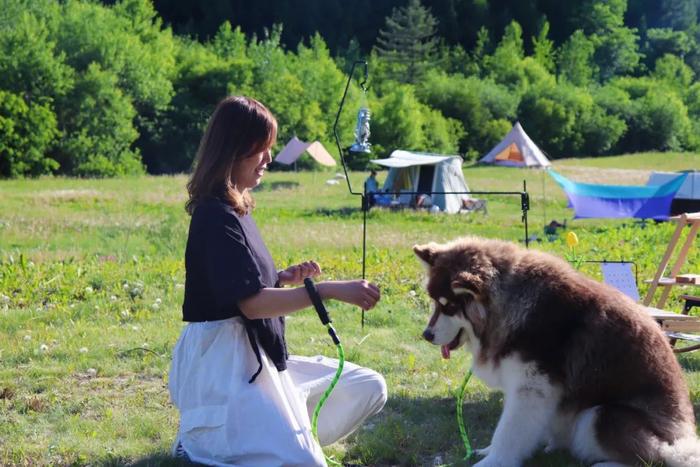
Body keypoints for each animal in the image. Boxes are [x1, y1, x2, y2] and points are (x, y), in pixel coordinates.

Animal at [416, 239, 700, 466]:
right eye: (435, 302)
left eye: (449, 306)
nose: (426, 335)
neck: (512, 304)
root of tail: (683, 437)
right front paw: (490, 451)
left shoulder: (532, 387)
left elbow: (508, 431)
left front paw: (494, 461)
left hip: (601, 416)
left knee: (655, 458)